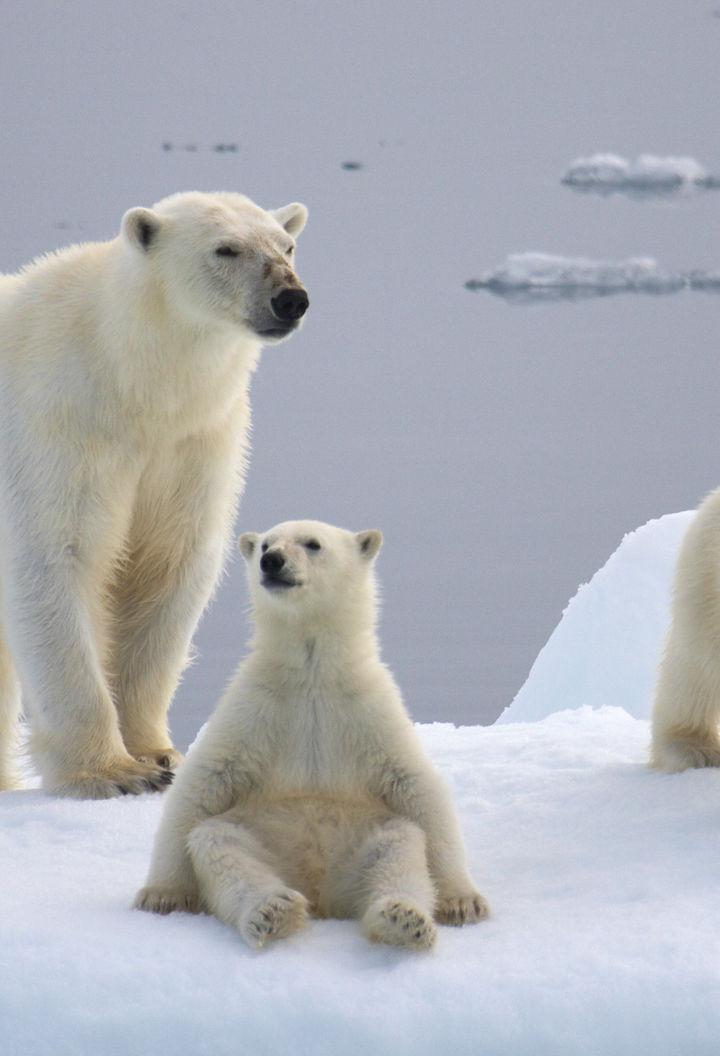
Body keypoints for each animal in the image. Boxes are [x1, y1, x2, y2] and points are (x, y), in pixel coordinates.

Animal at [0, 192, 306, 798]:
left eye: (286, 245)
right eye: (226, 249)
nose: (291, 298)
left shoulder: (191, 442)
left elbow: (167, 564)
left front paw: (159, 755)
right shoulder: (57, 426)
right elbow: (54, 558)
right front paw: (111, 772)